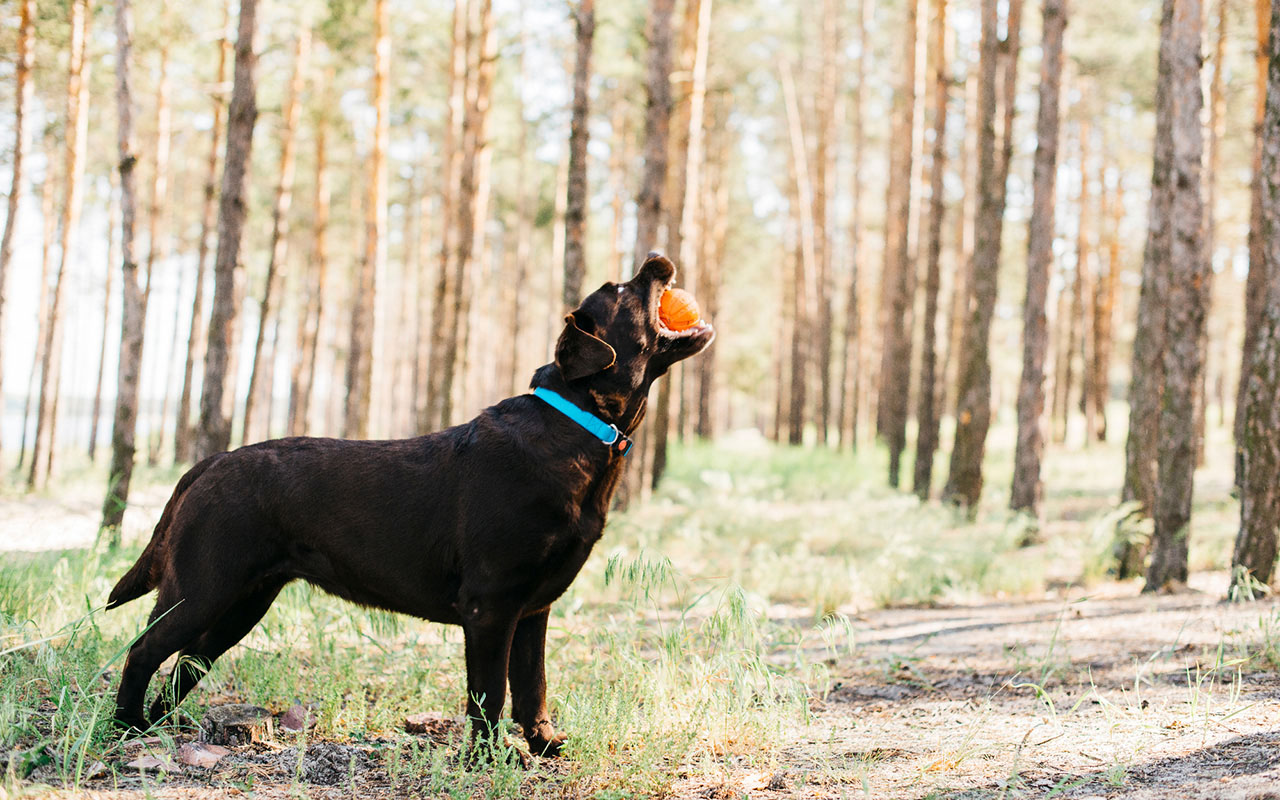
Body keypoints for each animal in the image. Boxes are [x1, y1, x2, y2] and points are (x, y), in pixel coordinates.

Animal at [107, 250, 711, 752]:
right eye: (621, 288)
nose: (658, 256)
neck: (580, 424)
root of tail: (212, 461)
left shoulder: (534, 607)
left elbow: (531, 687)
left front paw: (543, 746)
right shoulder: (490, 606)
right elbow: (489, 695)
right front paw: (488, 761)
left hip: (243, 600)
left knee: (186, 662)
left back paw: (158, 725)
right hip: (204, 587)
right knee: (143, 649)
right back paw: (128, 728)